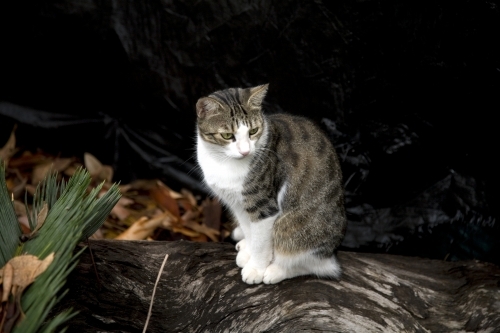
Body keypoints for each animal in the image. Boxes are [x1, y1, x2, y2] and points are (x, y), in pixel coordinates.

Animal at [193, 83, 346, 282]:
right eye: (227, 135)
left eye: (253, 131)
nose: (245, 151)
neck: (223, 161)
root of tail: (332, 253)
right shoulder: (238, 204)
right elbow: (249, 230)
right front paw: (248, 252)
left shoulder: (263, 206)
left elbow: (261, 242)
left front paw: (256, 269)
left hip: (292, 226)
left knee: (315, 265)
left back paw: (276, 271)